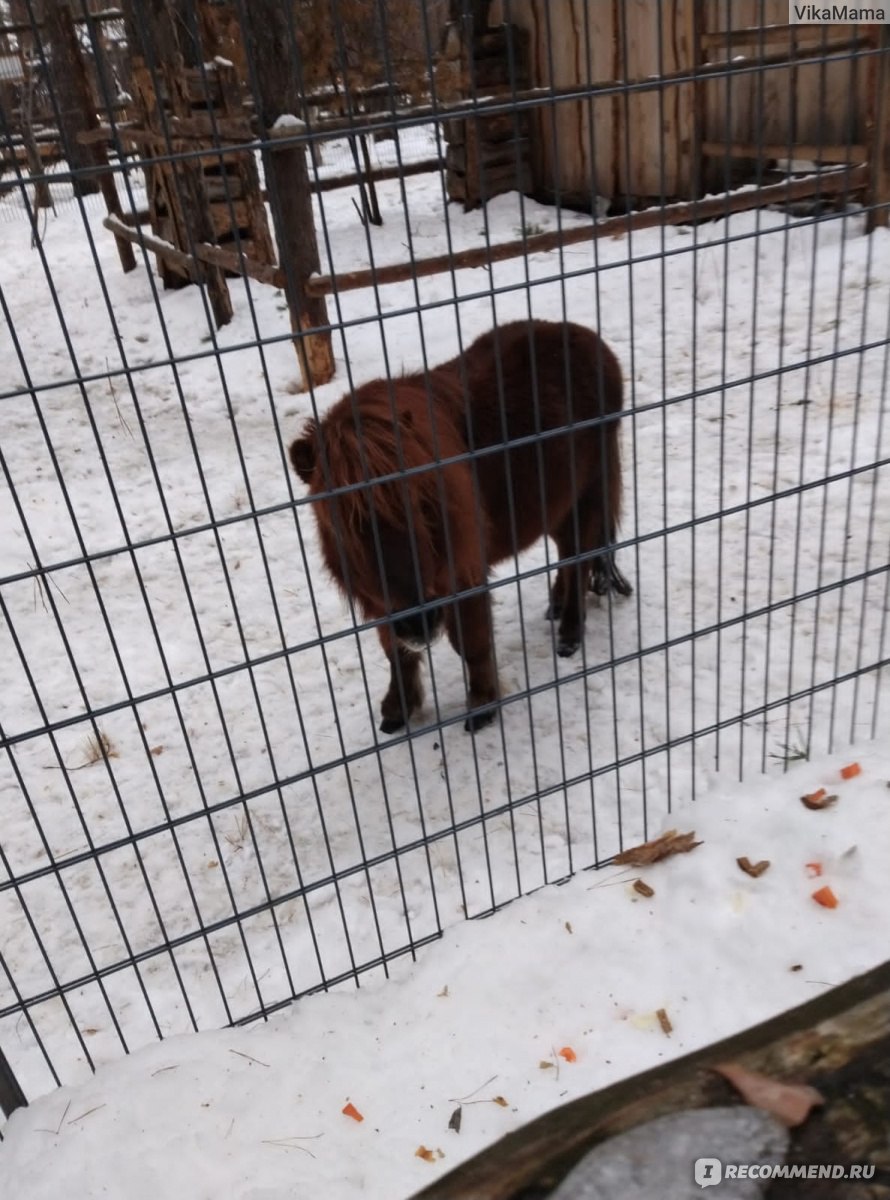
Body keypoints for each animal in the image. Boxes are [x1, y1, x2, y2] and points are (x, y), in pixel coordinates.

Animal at [289, 319, 633, 729]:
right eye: (344, 526)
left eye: (422, 505)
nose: (418, 622)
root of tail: (590, 339)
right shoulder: (380, 599)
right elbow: (396, 652)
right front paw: (397, 710)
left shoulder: (463, 573)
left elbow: (471, 642)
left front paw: (482, 705)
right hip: (557, 504)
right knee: (569, 555)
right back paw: (555, 605)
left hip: (587, 495)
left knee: (578, 558)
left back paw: (568, 634)